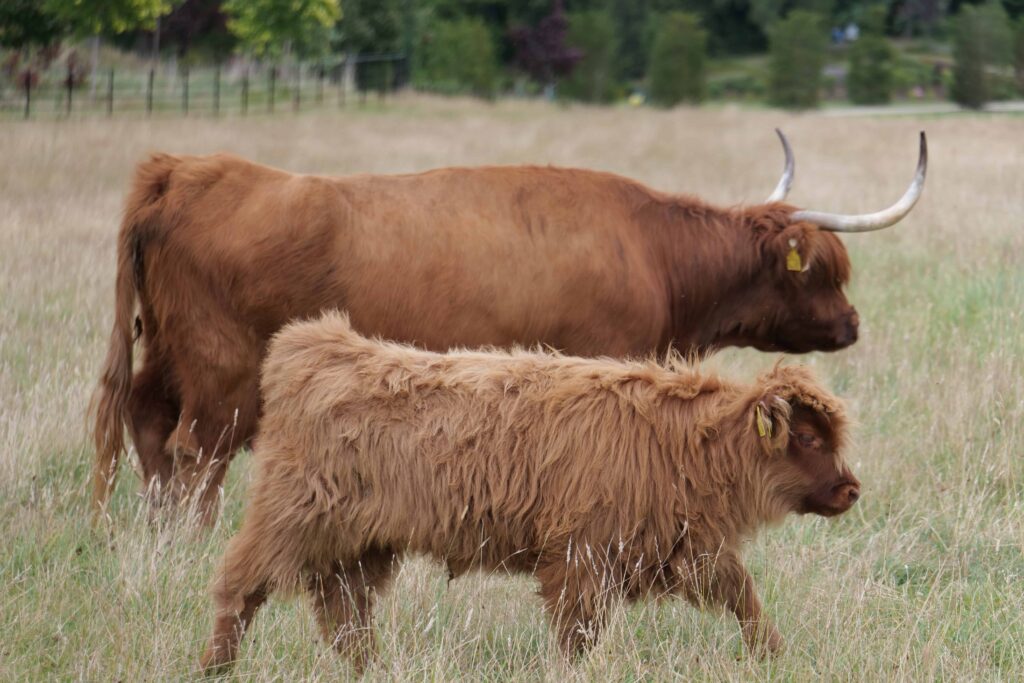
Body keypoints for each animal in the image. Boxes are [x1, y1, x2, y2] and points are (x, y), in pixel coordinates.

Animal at [91, 131, 922, 523]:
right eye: (822, 270)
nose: (851, 324)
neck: (652, 250)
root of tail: (188, 168)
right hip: (222, 374)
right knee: (194, 455)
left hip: (166, 355)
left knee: (147, 427)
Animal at [199, 312, 860, 673]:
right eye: (806, 436)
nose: (851, 490)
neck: (685, 442)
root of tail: (317, 348)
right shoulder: (582, 559)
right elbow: (577, 634)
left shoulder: (688, 550)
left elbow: (744, 598)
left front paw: (775, 656)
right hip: (289, 520)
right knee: (241, 587)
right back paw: (214, 668)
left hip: (360, 548)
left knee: (346, 617)